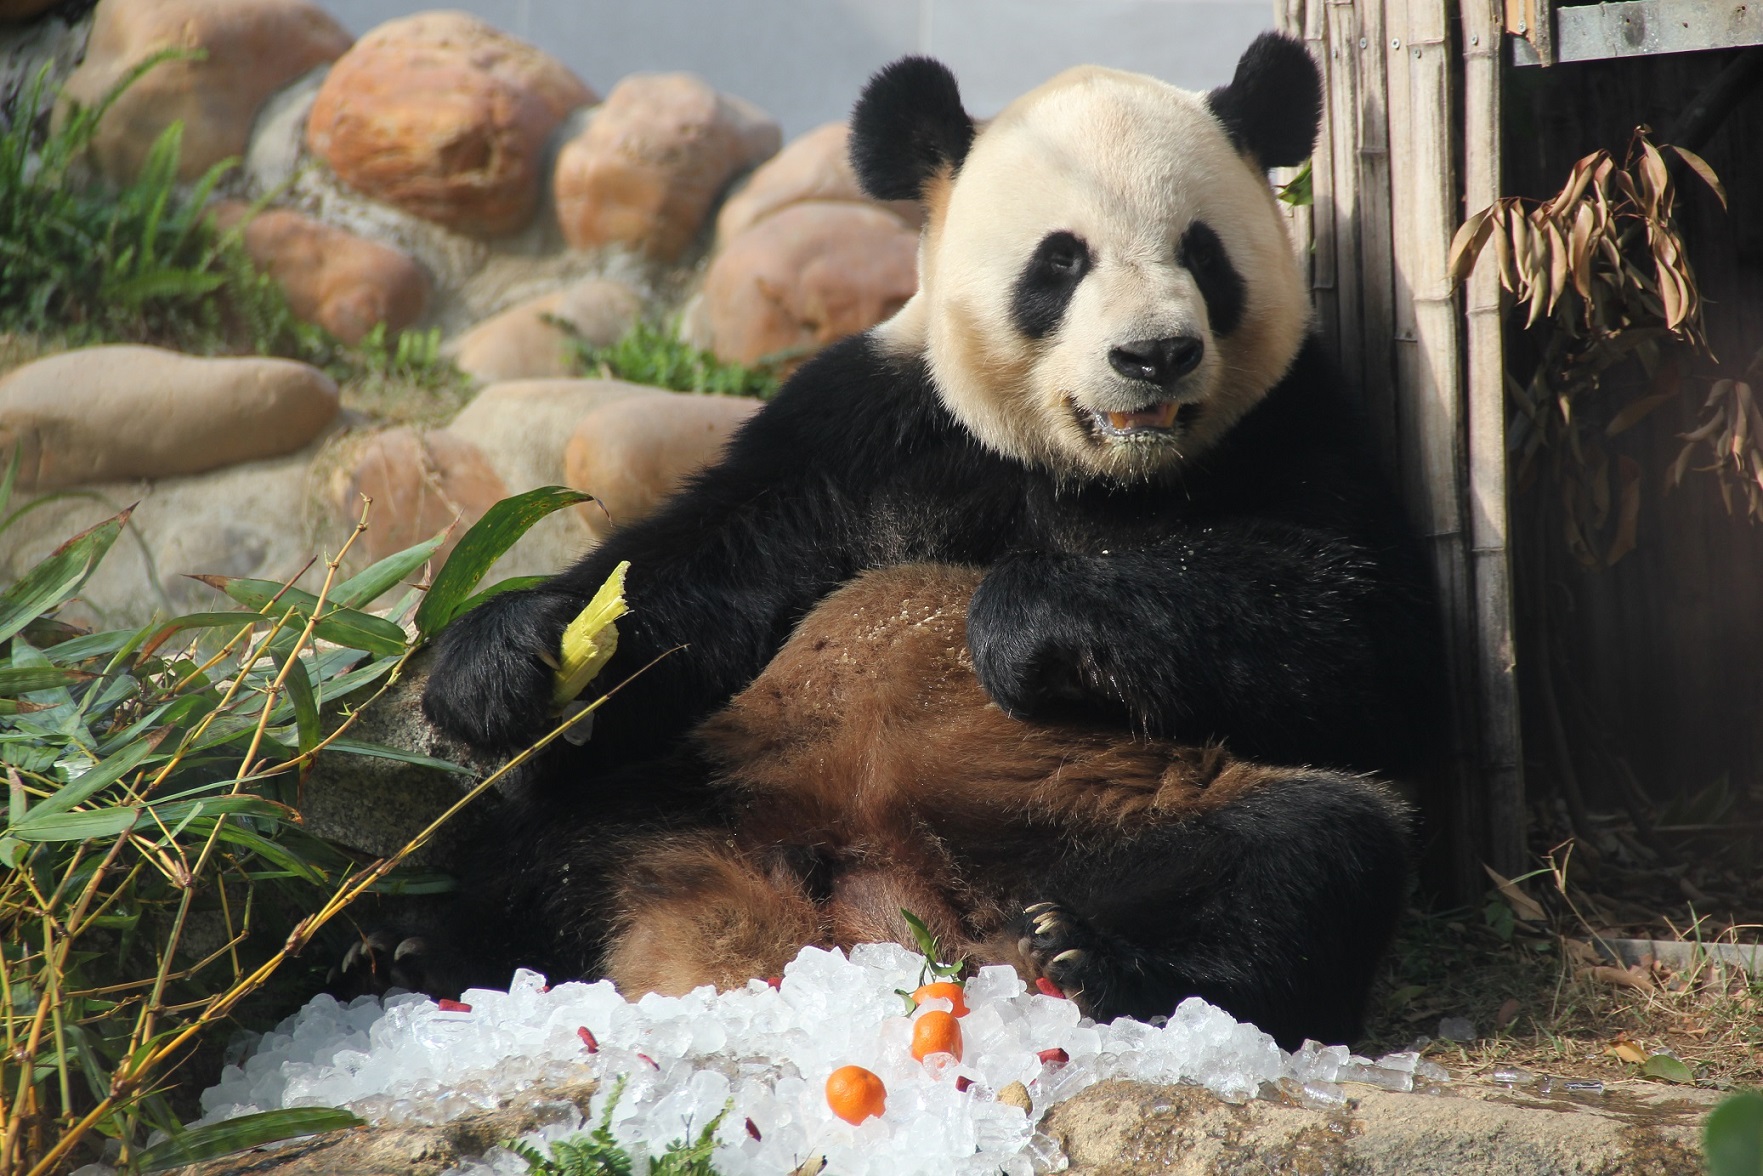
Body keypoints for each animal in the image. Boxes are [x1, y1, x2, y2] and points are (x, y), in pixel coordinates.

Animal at [412, 34, 1445, 1050]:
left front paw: (1020, 623)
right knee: (538, 840)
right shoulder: (865, 429)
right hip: (708, 781)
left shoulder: (1295, 422)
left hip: (1130, 809)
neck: (1093, 467)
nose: (1155, 355)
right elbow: (702, 580)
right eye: (1060, 262)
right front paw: (504, 658)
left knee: (1310, 851)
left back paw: (1101, 962)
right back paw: (436, 958)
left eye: (1202, 252)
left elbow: (1365, 644)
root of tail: (897, 915)